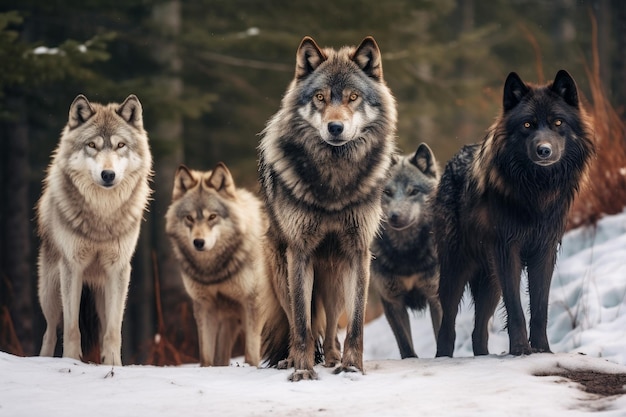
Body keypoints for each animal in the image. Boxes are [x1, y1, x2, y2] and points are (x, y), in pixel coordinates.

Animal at [37, 94, 153, 364]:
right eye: (92, 145)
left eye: (120, 145)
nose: (108, 174)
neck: (102, 215)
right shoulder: (72, 267)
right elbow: (71, 329)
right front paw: (71, 361)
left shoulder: (118, 269)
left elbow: (113, 332)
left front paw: (113, 364)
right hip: (50, 291)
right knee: (50, 331)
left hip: (101, 293)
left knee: (102, 329)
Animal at [166, 163, 276, 368]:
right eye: (189, 218)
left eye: (212, 216)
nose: (198, 242)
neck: (214, 271)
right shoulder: (204, 306)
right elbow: (207, 356)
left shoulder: (254, 304)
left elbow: (251, 353)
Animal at [258, 35, 394, 380]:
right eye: (320, 97)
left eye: (353, 97)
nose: (335, 127)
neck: (334, 182)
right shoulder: (300, 252)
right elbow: (303, 323)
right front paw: (303, 371)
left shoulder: (358, 252)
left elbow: (356, 324)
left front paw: (352, 367)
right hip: (283, 272)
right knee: (296, 322)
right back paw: (291, 359)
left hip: (335, 277)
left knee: (332, 324)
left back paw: (333, 358)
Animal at [368, 143, 442, 358]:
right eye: (387, 192)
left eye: (413, 191)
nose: (394, 216)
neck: (407, 253)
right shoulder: (392, 301)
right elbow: (405, 345)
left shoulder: (435, 296)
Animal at [432, 70, 592, 356]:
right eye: (527, 125)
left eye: (558, 122)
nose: (544, 150)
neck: (537, 190)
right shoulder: (508, 250)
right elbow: (516, 309)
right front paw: (520, 349)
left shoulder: (544, 251)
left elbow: (540, 308)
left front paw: (542, 349)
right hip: (456, 271)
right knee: (447, 325)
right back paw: (443, 358)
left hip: (490, 282)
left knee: (478, 331)